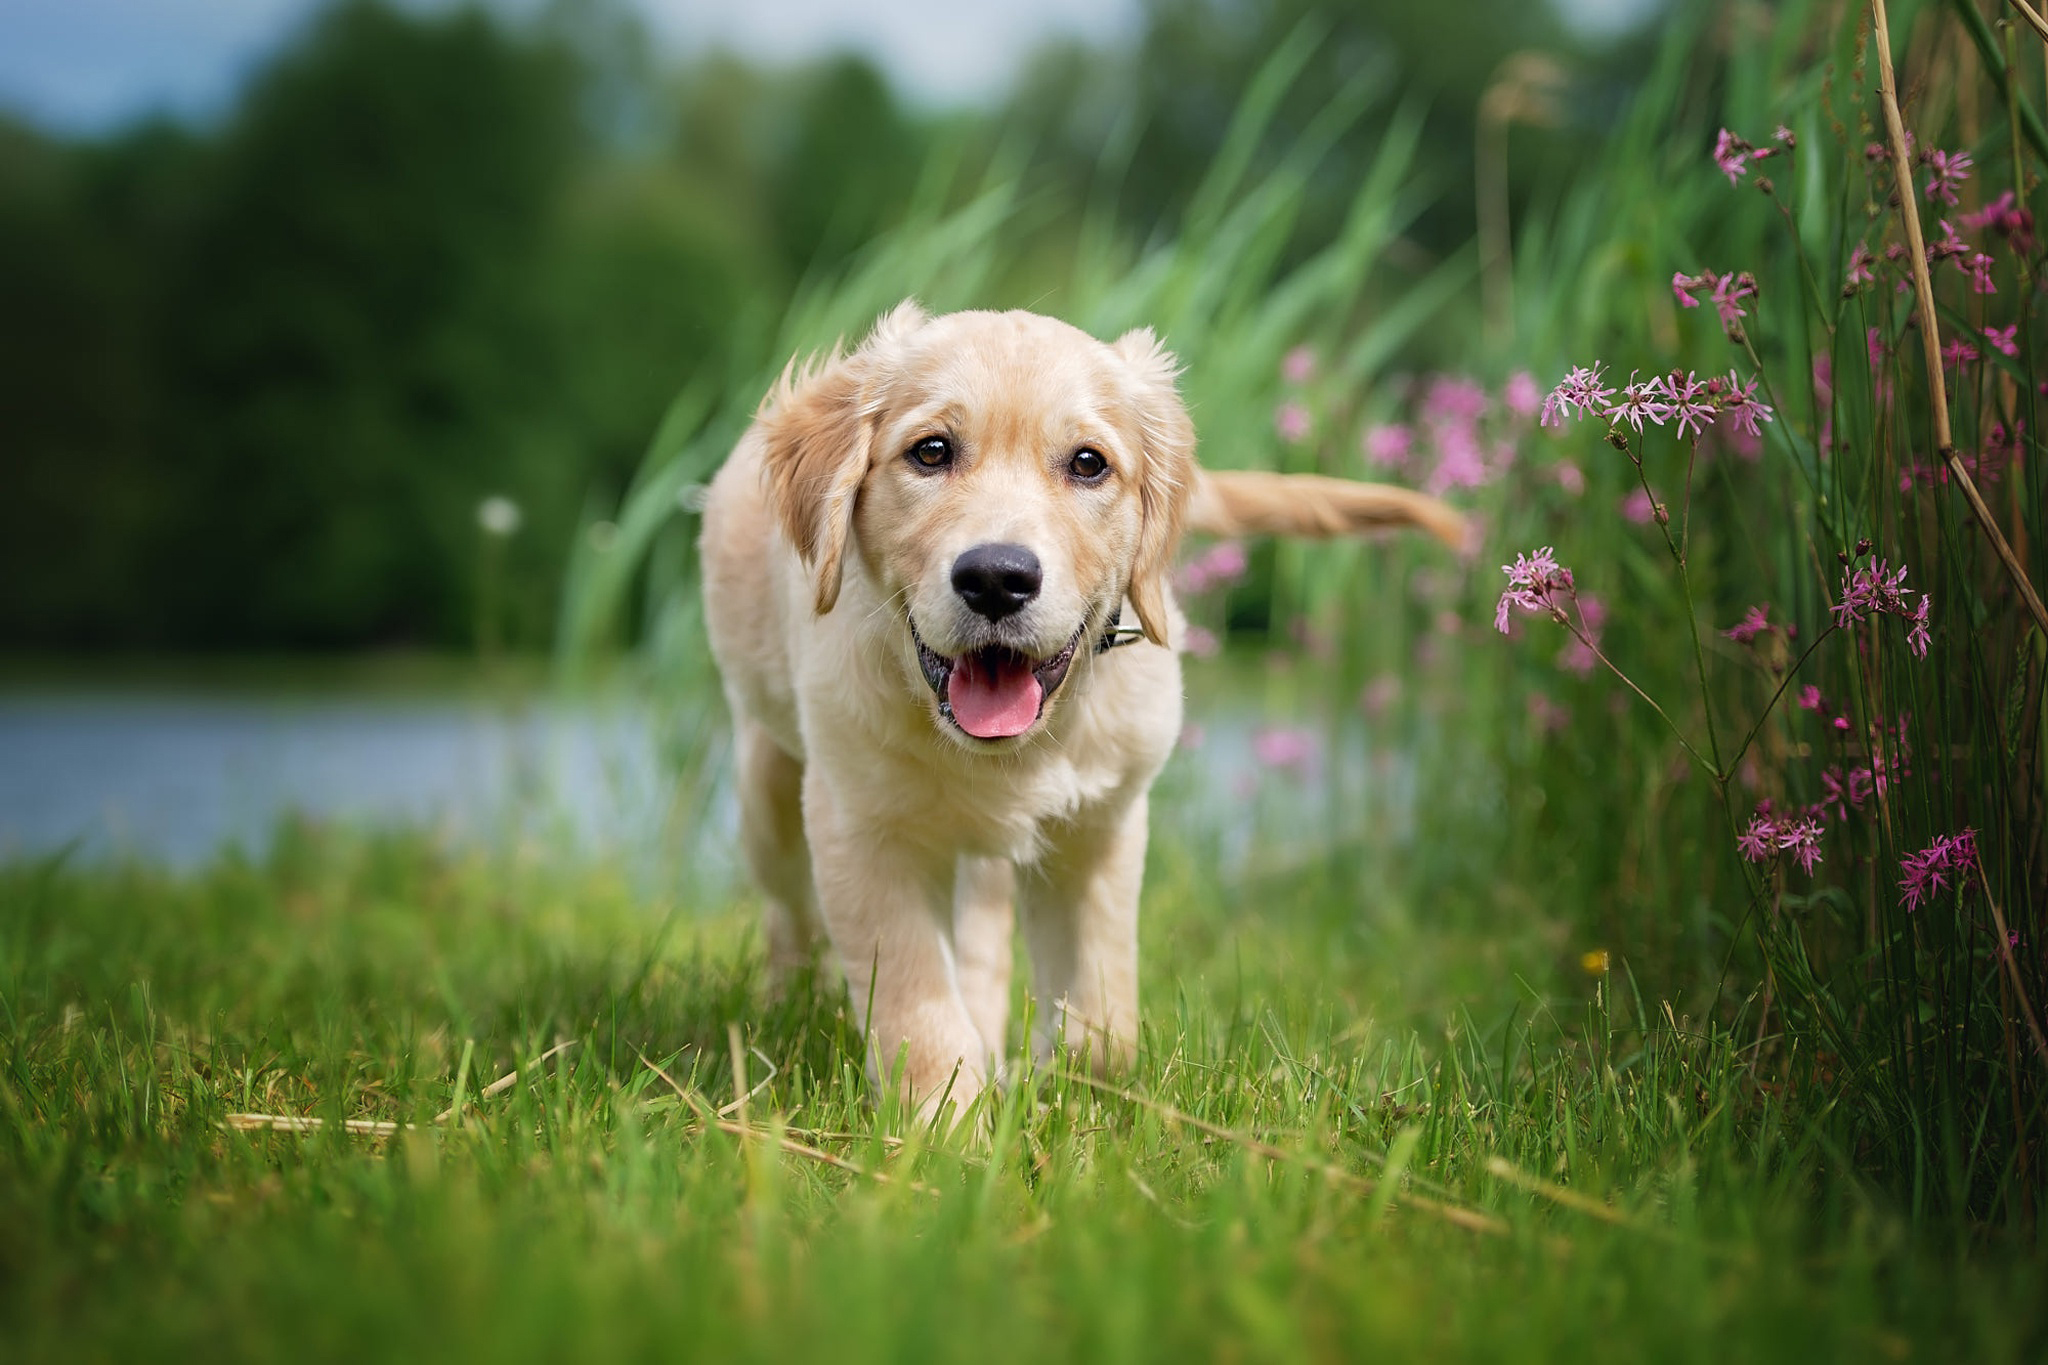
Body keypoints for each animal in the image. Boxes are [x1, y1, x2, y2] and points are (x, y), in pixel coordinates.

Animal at [700, 304, 1458, 1113]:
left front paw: (1076, 1103)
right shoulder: (860, 828)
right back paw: (792, 1005)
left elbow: (1101, 1012)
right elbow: (916, 1003)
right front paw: (945, 1125)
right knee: (789, 911)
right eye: (931, 452)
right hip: (768, 792)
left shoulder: (1099, 826)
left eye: (1088, 463)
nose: (996, 577)